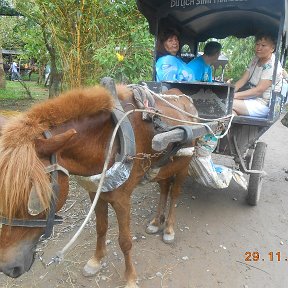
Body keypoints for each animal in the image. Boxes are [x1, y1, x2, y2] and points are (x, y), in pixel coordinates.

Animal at [0, 84, 197, 286]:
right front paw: (96, 261)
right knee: (164, 188)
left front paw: (130, 278)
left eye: (35, 200)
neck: (108, 139)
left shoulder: (122, 200)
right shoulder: (96, 192)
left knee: (174, 194)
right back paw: (157, 222)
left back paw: (169, 229)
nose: (8, 268)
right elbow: (100, 228)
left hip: (184, 164)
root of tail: (182, 96)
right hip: (164, 167)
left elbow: (125, 241)